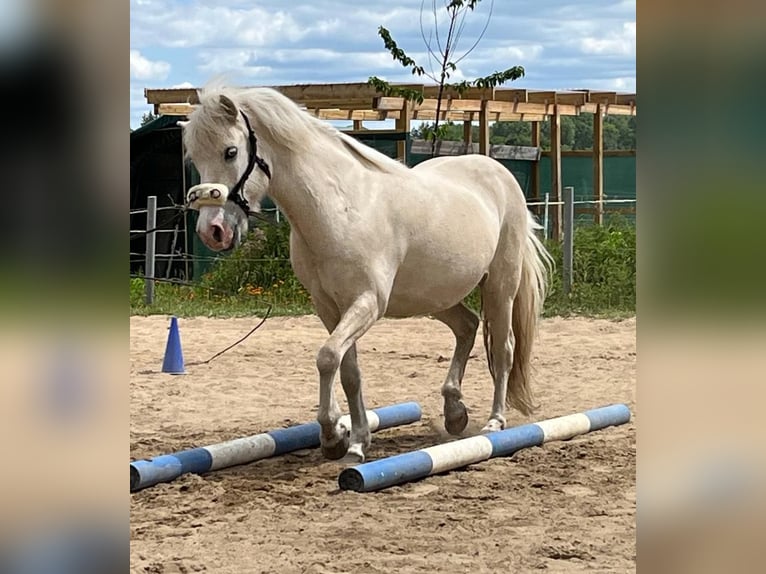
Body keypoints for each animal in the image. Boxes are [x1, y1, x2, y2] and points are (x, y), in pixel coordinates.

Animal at [180, 84, 554, 463]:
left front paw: (336, 435)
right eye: (194, 159)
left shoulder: (367, 302)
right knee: (467, 326)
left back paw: (494, 422)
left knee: (504, 348)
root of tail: (500, 173)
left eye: (230, 152)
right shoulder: (329, 307)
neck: (341, 207)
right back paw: (454, 412)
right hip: (432, 297)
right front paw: (351, 439)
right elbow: (348, 371)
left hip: (500, 287)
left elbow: (328, 357)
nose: (212, 232)